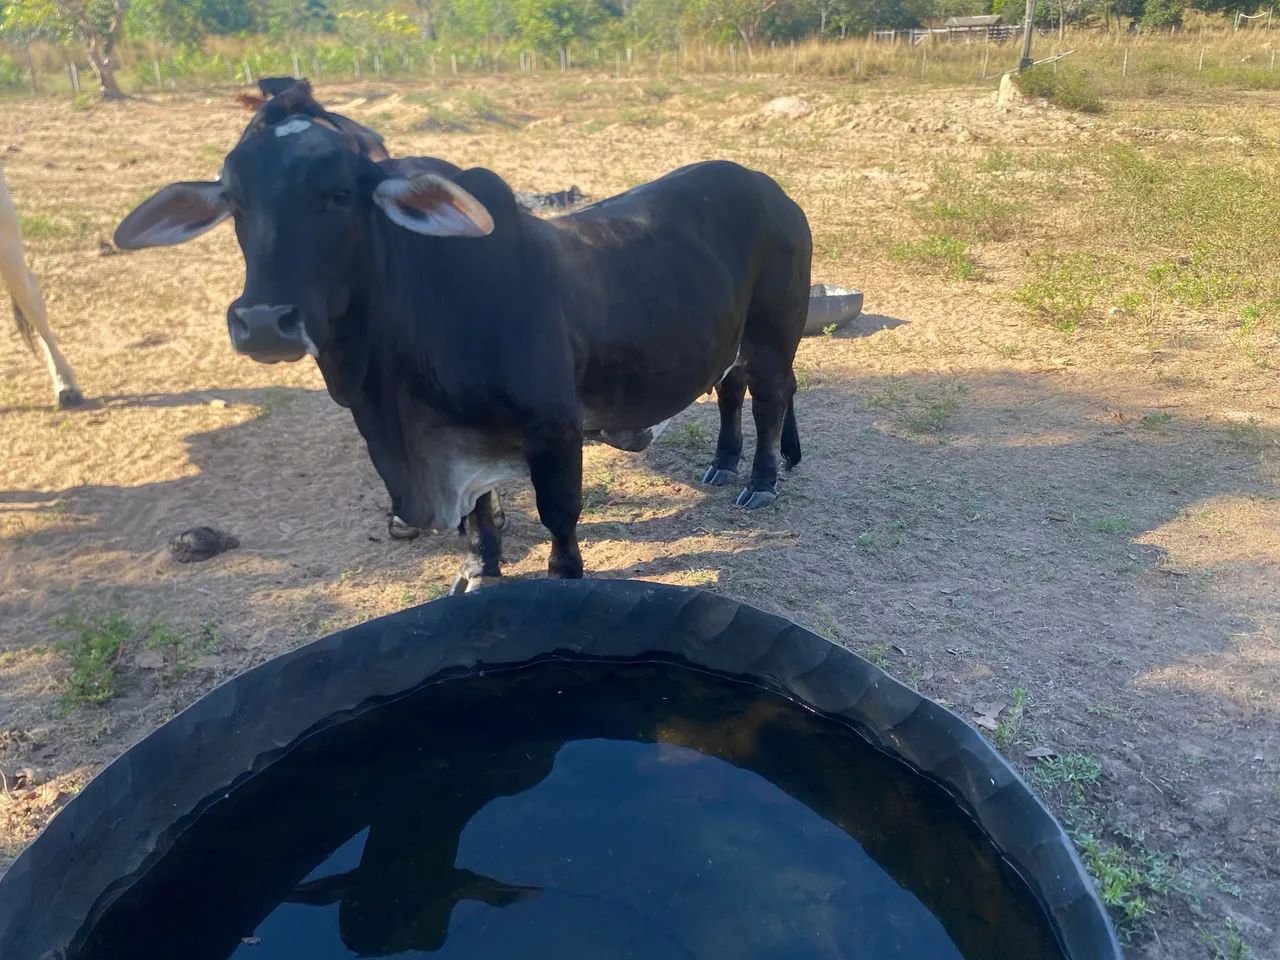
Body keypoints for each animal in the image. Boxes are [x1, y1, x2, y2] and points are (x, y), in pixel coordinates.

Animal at [113, 107, 811, 592]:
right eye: (235, 202)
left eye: (338, 194)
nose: (262, 322)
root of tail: (770, 188)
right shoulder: (458, 438)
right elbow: (479, 514)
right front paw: (481, 569)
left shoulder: (555, 428)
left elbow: (559, 513)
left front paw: (563, 575)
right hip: (732, 338)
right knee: (732, 390)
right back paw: (723, 464)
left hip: (774, 332)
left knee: (772, 397)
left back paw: (761, 480)